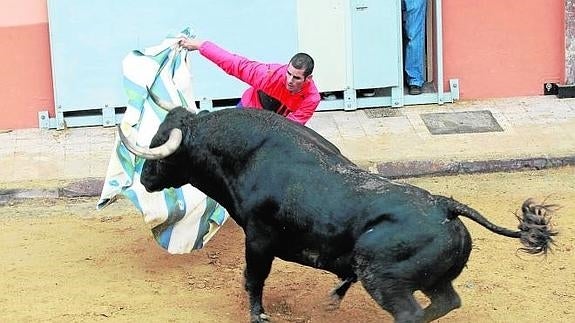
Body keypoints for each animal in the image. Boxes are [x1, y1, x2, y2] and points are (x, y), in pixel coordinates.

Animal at [120, 100, 560, 322]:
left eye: (160, 143)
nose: (144, 179)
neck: (245, 155)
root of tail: (446, 206)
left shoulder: (258, 239)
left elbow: (254, 280)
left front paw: (258, 316)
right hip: (432, 281)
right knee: (446, 302)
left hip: (383, 275)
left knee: (410, 313)